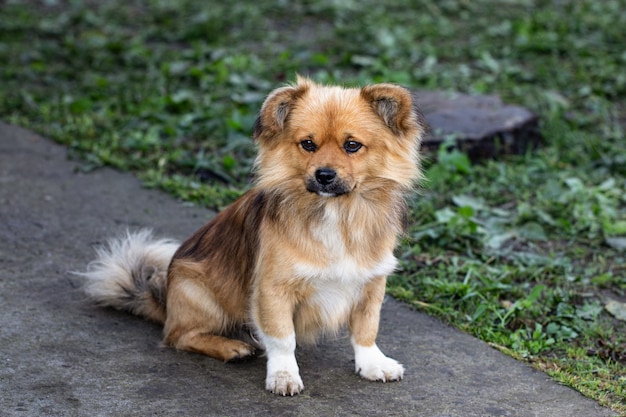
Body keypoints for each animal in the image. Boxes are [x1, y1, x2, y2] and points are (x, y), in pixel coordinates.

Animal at [80, 77, 424, 394]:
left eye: (352, 145)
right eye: (307, 144)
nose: (324, 175)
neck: (336, 214)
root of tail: (163, 302)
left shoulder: (371, 283)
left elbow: (366, 329)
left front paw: (372, 364)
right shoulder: (273, 288)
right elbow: (283, 339)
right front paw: (284, 375)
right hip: (199, 293)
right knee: (178, 336)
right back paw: (230, 347)